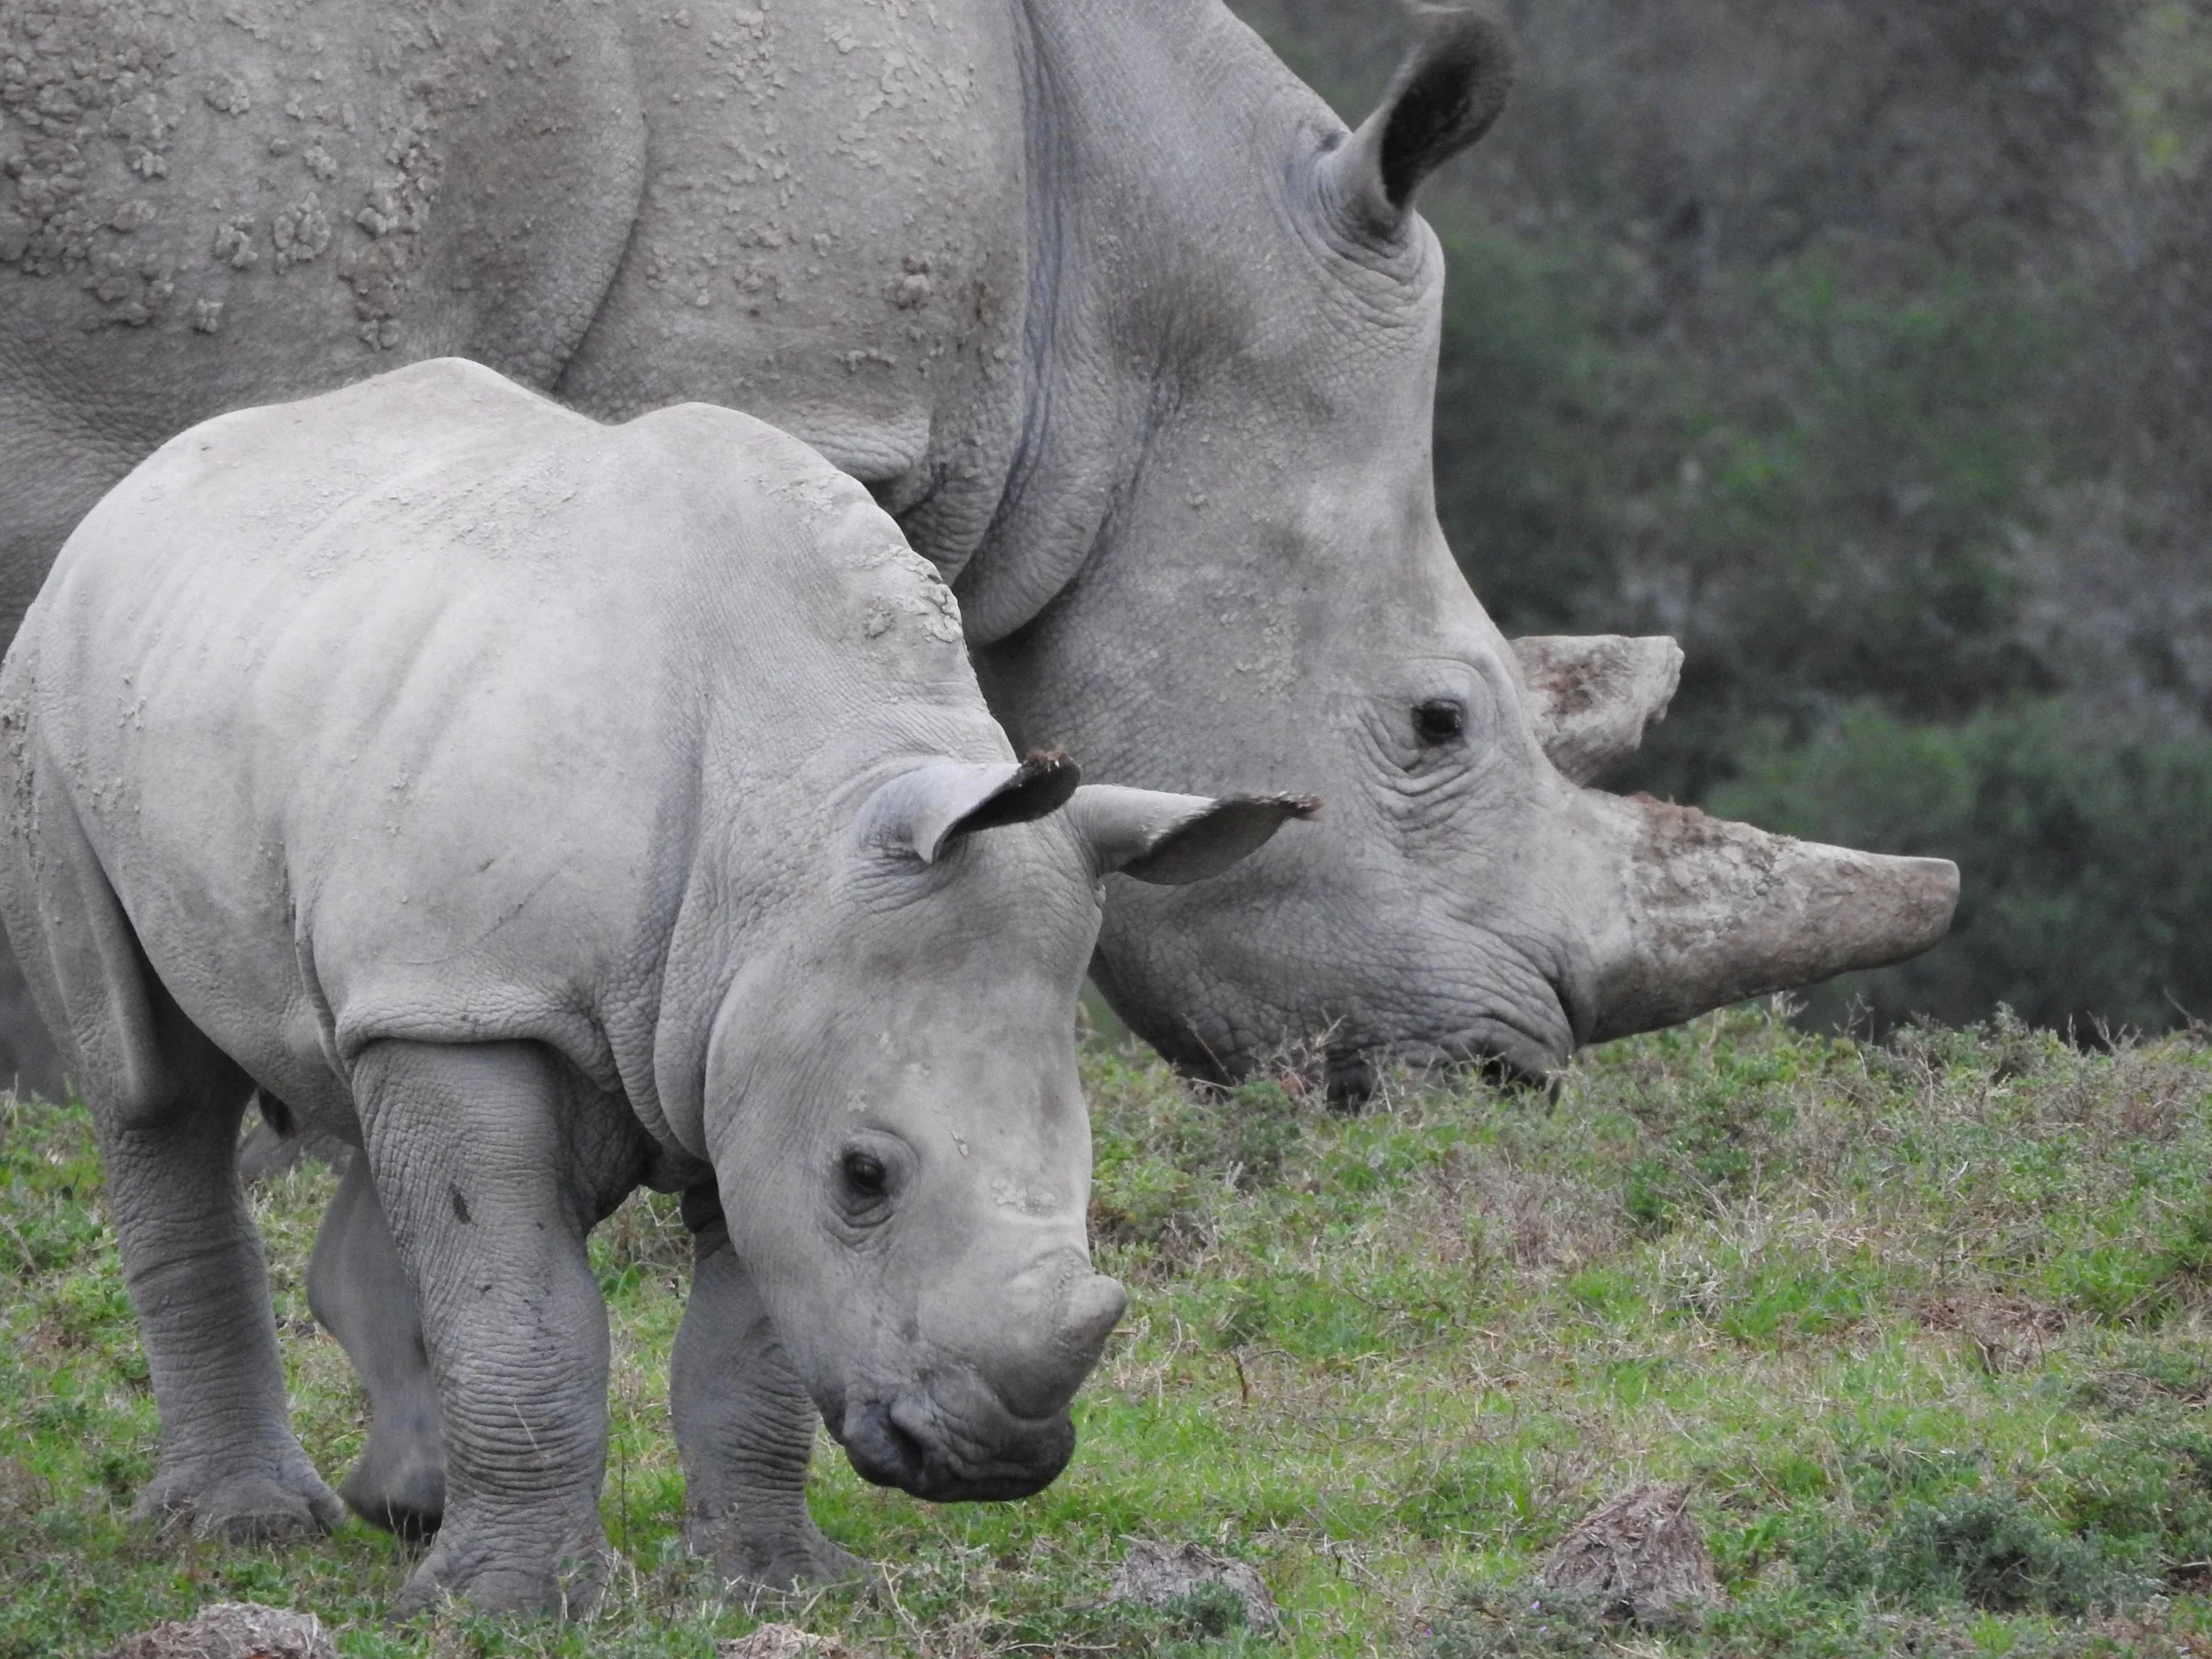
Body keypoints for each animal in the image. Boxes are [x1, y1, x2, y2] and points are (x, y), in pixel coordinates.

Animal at [0, 357, 1311, 1611]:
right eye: (866, 1175)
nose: (997, 1461)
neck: (806, 815)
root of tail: (150, 474)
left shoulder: (741, 1025)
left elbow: (743, 1342)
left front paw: (774, 1582)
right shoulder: (500, 996)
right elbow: (524, 1308)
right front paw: (512, 1610)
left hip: (352, 754)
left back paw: (410, 1506)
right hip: (58, 689)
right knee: (153, 1086)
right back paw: (247, 1525)